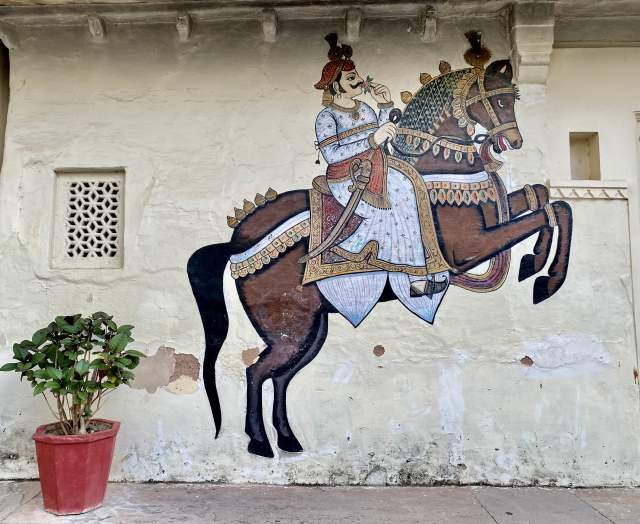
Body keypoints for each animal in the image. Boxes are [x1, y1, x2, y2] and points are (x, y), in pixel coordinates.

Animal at [187, 58, 573, 458]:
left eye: (513, 99)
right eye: (498, 101)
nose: (513, 141)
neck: (437, 168)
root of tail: (236, 242)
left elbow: (546, 199)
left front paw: (537, 267)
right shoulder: (469, 247)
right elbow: (550, 211)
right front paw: (543, 275)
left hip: (311, 330)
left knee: (279, 377)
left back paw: (288, 439)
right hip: (289, 329)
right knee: (256, 372)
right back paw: (260, 442)